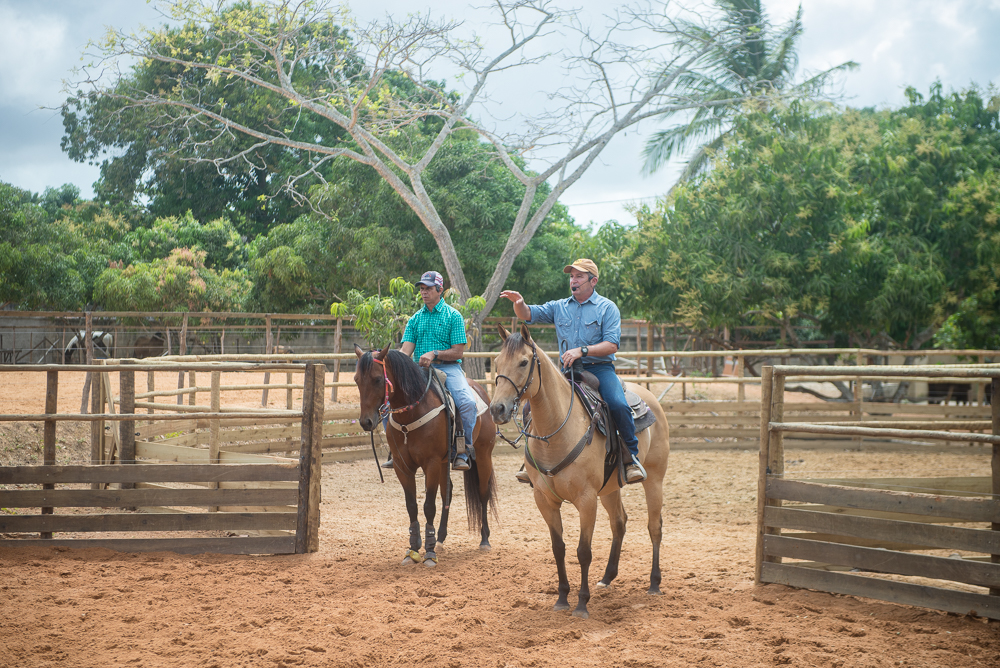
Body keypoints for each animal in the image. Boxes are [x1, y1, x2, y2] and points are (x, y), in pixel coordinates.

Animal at [358, 342, 504, 568]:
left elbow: (428, 506)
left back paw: (484, 540)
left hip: (482, 455)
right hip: (446, 463)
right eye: (356, 379)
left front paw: (428, 552)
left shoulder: (431, 463)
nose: (366, 422)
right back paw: (441, 539)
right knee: (448, 493)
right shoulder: (402, 466)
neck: (412, 414)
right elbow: (412, 506)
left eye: (377, 379)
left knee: (483, 493)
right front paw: (413, 548)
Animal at [486, 324, 668, 620]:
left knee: (655, 527)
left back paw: (654, 583)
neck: (558, 429)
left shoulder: (586, 499)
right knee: (619, 522)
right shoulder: (545, 500)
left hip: (654, 479)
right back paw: (607, 577)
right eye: (497, 363)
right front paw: (562, 598)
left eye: (524, 362)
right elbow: (558, 548)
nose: (497, 409)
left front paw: (582, 603)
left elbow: (583, 551)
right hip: (610, 488)